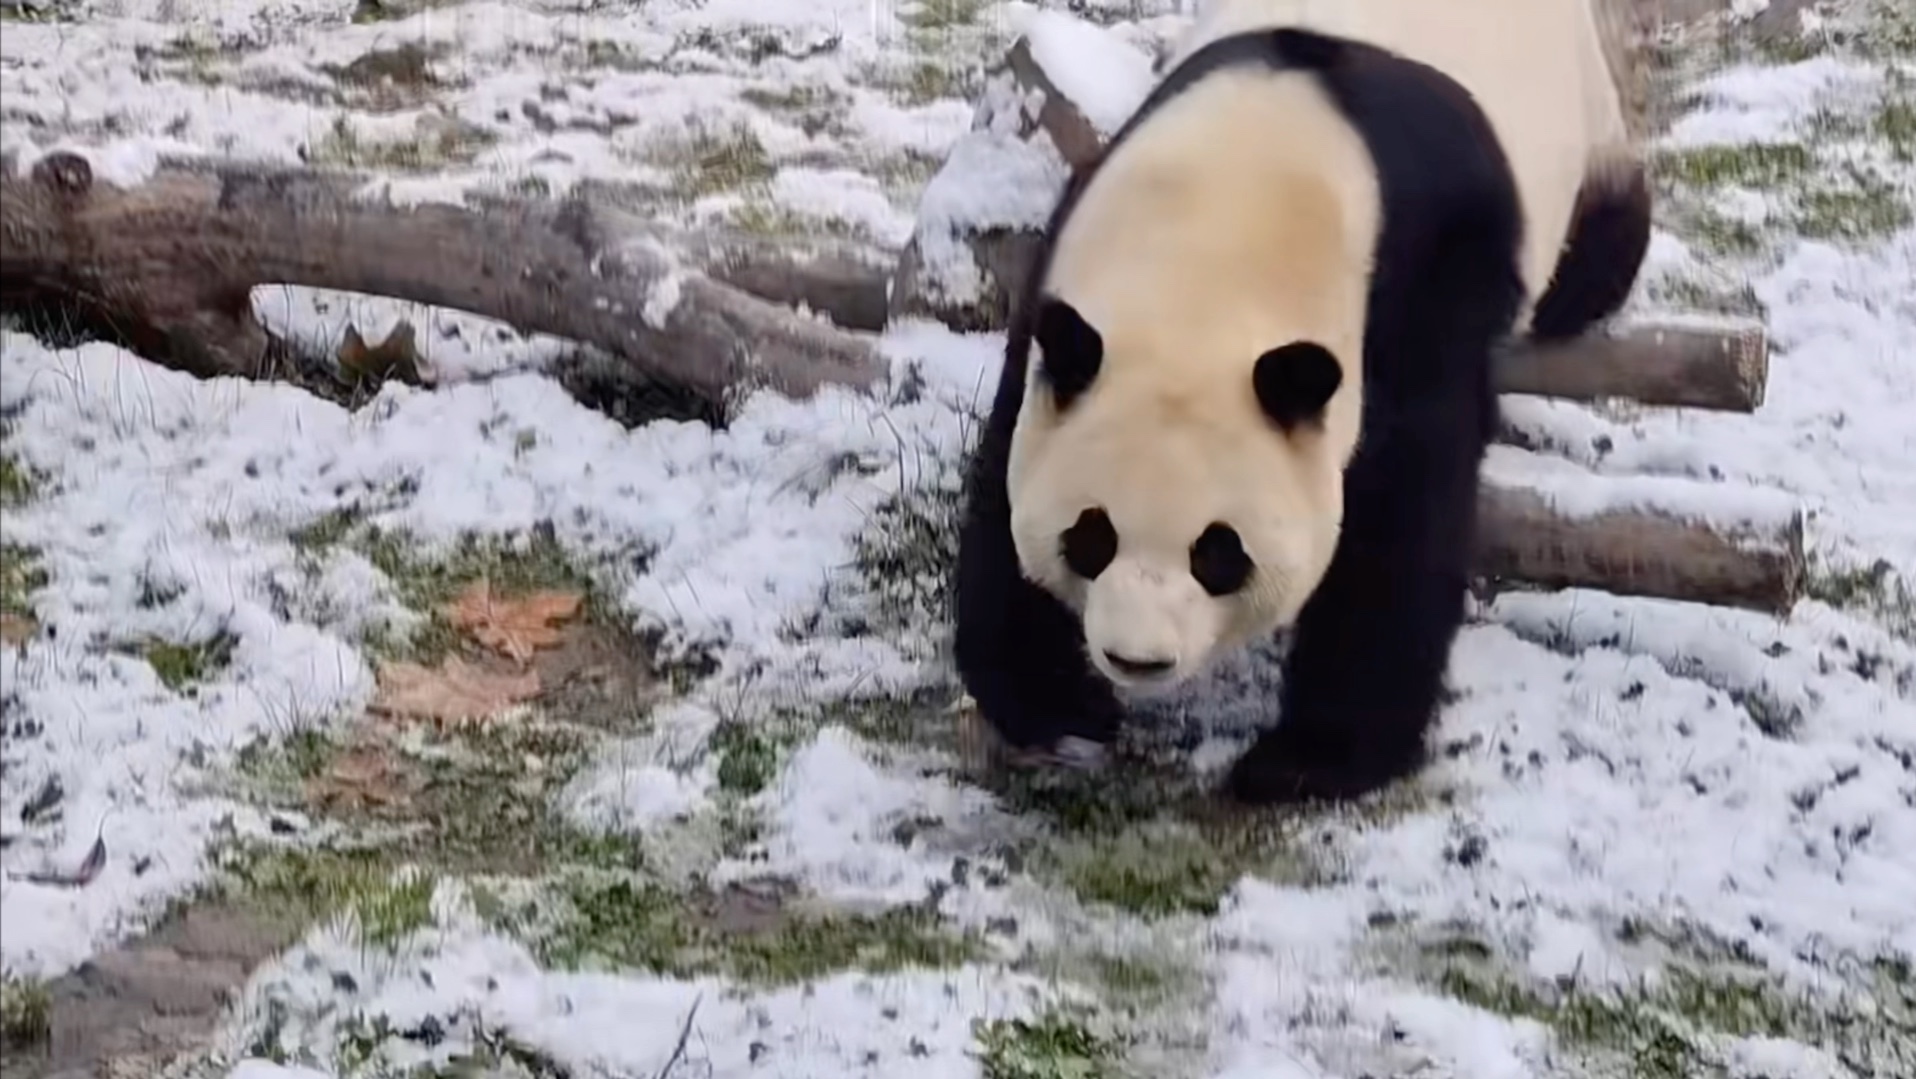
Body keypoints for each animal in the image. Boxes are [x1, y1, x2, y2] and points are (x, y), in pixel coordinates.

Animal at [950, 0, 1655, 812]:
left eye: (1218, 552)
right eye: (1089, 536)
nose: (1138, 660)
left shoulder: (1420, 286)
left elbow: (1402, 517)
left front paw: (1306, 760)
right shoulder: (1068, 285)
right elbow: (1006, 462)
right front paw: (1058, 707)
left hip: (1585, 122)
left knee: (1605, 229)